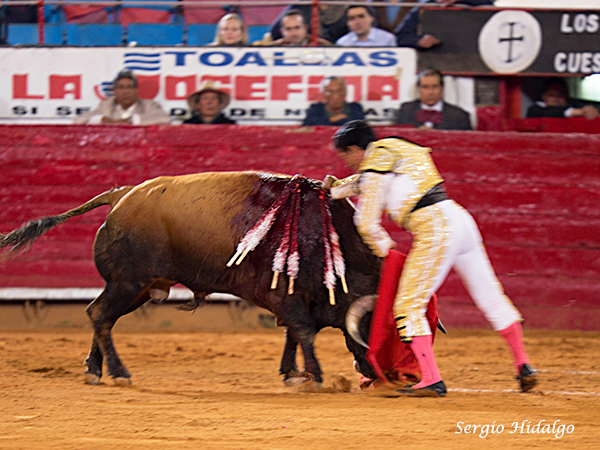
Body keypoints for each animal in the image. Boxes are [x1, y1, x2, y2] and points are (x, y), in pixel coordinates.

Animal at [1, 171, 380, 384]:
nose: (381, 375)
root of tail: (120, 195)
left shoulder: (291, 299)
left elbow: (293, 334)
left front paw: (292, 374)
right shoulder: (287, 298)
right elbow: (303, 332)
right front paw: (314, 376)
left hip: (135, 288)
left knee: (100, 316)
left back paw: (95, 370)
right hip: (128, 283)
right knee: (99, 315)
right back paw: (119, 373)